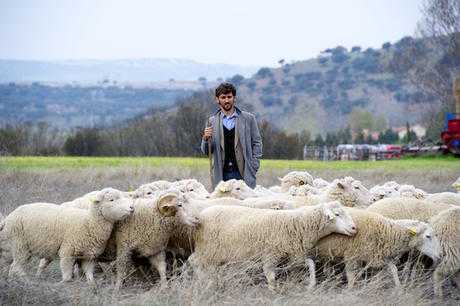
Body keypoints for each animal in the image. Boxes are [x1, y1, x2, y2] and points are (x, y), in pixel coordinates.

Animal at [0, 189, 135, 284]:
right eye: (111, 200)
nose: (132, 207)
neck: (89, 221)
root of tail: (8, 218)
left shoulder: (88, 256)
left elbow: (89, 275)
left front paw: (92, 286)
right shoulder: (67, 252)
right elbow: (67, 277)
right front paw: (62, 284)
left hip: (22, 249)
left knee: (12, 267)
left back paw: (13, 281)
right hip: (19, 245)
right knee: (16, 267)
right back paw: (27, 282)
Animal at [189, 201, 358, 290]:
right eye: (337, 214)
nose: (354, 228)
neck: (297, 224)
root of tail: (201, 216)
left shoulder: (293, 254)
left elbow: (310, 264)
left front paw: (311, 284)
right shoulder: (270, 255)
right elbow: (270, 275)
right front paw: (273, 290)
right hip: (207, 250)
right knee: (194, 262)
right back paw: (204, 283)